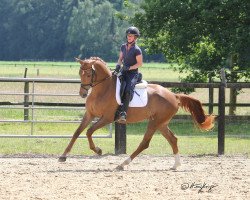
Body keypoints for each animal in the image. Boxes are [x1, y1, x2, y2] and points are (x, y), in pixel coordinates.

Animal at [58, 56, 215, 170]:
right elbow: (77, 132)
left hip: (155, 122)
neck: (102, 89)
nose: (83, 94)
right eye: (80, 73)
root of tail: (174, 96)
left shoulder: (107, 118)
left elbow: (89, 132)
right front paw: (63, 156)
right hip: (161, 123)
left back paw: (122, 164)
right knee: (173, 139)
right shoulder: (89, 115)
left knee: (145, 143)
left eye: (89, 73)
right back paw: (176, 165)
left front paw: (98, 150)